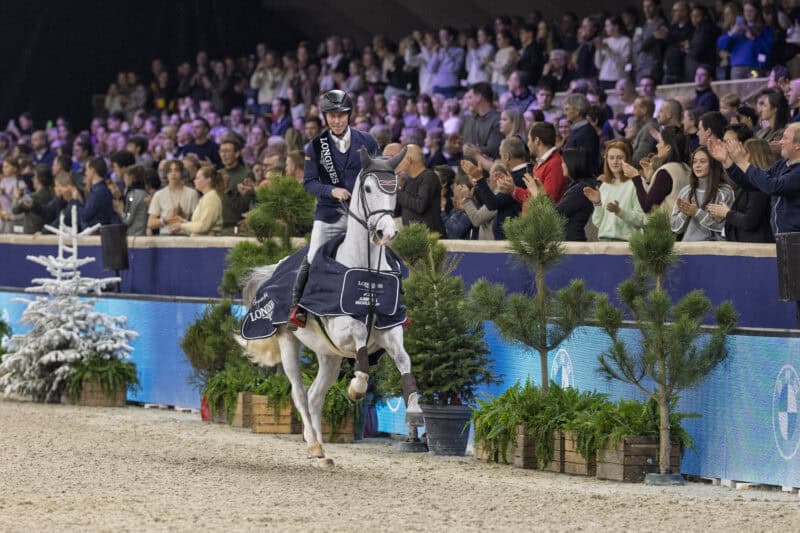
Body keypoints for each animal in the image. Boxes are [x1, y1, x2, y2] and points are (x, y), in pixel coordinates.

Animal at [239, 147, 422, 462]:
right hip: (289, 342)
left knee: (315, 396)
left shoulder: (390, 329)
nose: (386, 233)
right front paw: (357, 387)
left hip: (329, 355)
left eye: (395, 188)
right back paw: (313, 445)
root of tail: (275, 269)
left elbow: (403, 360)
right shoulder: (342, 327)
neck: (366, 271)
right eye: (368, 188)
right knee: (300, 394)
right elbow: (360, 340)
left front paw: (415, 410)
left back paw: (322, 451)